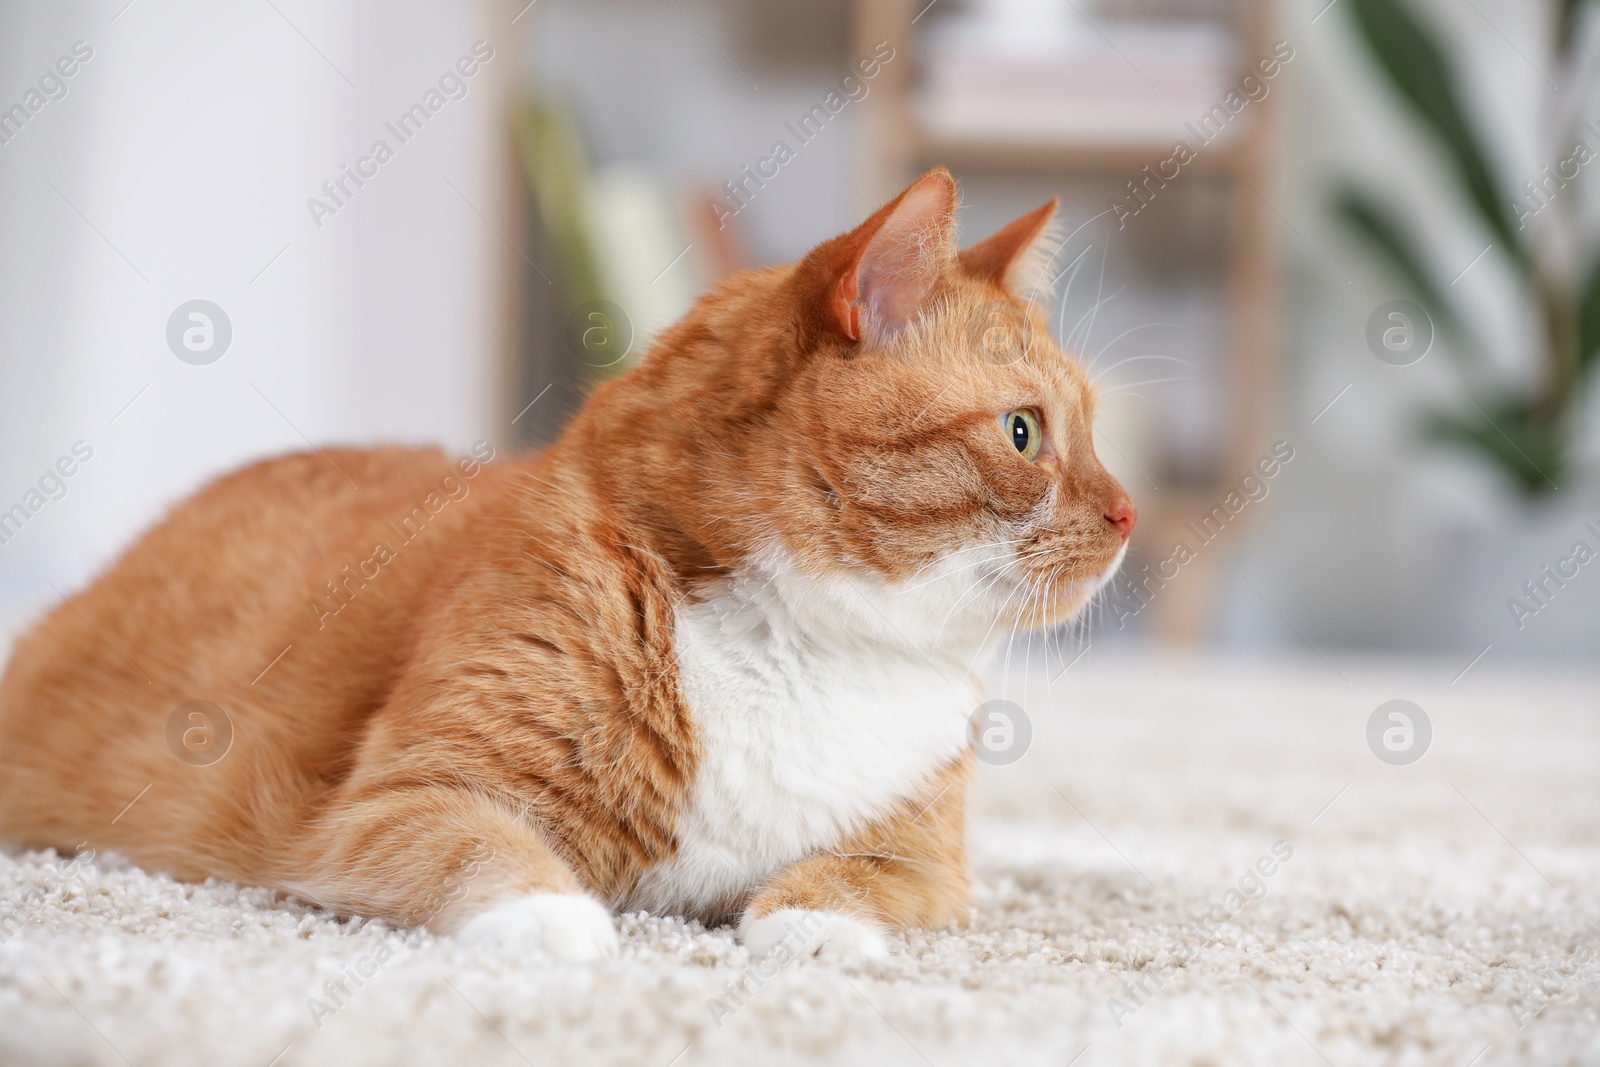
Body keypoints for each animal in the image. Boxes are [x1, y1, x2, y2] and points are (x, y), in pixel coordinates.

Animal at [0, 171, 1132, 966]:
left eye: (1093, 430)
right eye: (1025, 432)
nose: (1126, 515)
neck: (813, 646)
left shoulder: (927, 859)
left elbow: (857, 878)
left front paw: (814, 924)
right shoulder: (393, 801)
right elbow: (484, 847)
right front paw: (556, 917)